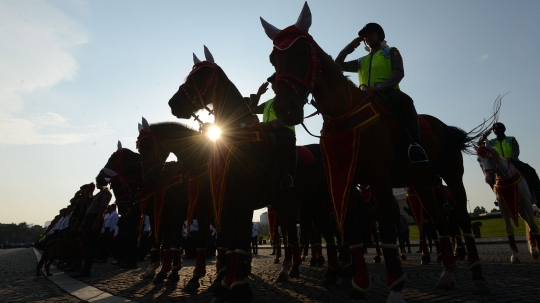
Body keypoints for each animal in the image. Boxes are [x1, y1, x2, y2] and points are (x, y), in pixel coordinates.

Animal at [260, 2, 492, 302]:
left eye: (301, 51)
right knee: (439, 223)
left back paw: (476, 276)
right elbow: (350, 230)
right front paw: (357, 284)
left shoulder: (379, 178)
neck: (345, 112)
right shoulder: (342, 179)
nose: (284, 108)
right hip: (422, 183)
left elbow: (387, 232)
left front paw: (394, 289)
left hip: (452, 176)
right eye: (273, 58)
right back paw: (447, 273)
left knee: (461, 221)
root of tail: (446, 127)